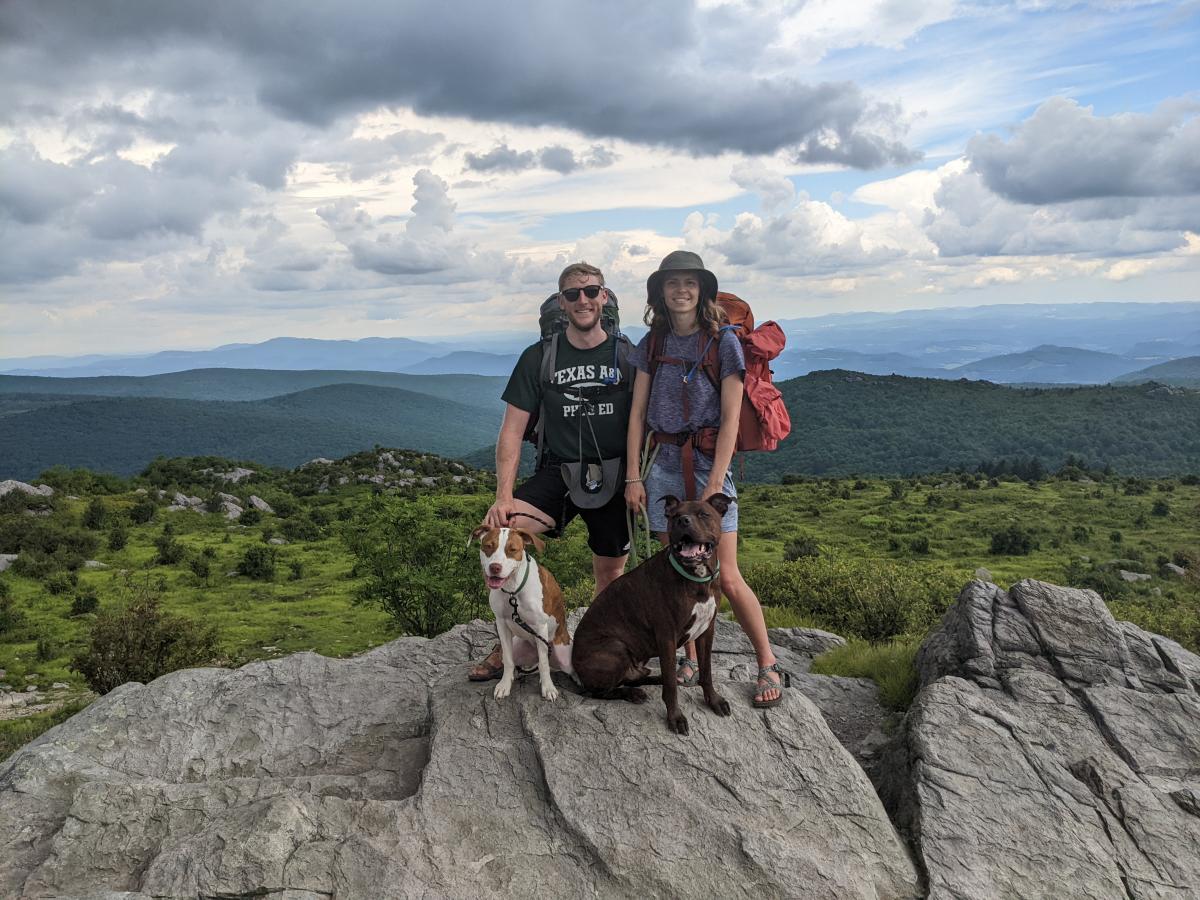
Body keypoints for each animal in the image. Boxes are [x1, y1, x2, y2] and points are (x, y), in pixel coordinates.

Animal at [468, 525, 571, 700]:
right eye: (488, 546)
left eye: (512, 549)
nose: (495, 567)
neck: (512, 591)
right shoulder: (502, 624)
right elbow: (508, 659)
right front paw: (504, 685)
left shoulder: (540, 626)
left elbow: (544, 664)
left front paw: (548, 688)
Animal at [571, 496, 729, 734]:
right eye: (674, 516)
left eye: (703, 514)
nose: (683, 521)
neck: (697, 578)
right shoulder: (667, 637)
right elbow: (671, 686)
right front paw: (675, 717)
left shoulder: (706, 631)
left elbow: (706, 671)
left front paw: (714, 700)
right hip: (615, 647)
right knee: (600, 691)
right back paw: (632, 693)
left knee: (635, 678)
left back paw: (654, 678)